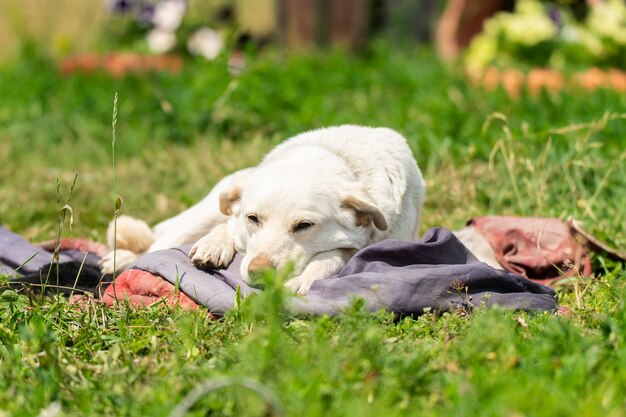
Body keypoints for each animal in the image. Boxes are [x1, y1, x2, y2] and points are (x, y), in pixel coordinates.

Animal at [101, 125, 424, 294]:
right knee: (155, 246)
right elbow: (228, 226)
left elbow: (331, 257)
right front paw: (214, 246)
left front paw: (301, 281)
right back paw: (121, 259)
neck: (338, 157)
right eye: (253, 219)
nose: (260, 273)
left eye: (304, 226)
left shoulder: (365, 244)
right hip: (204, 211)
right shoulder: (235, 218)